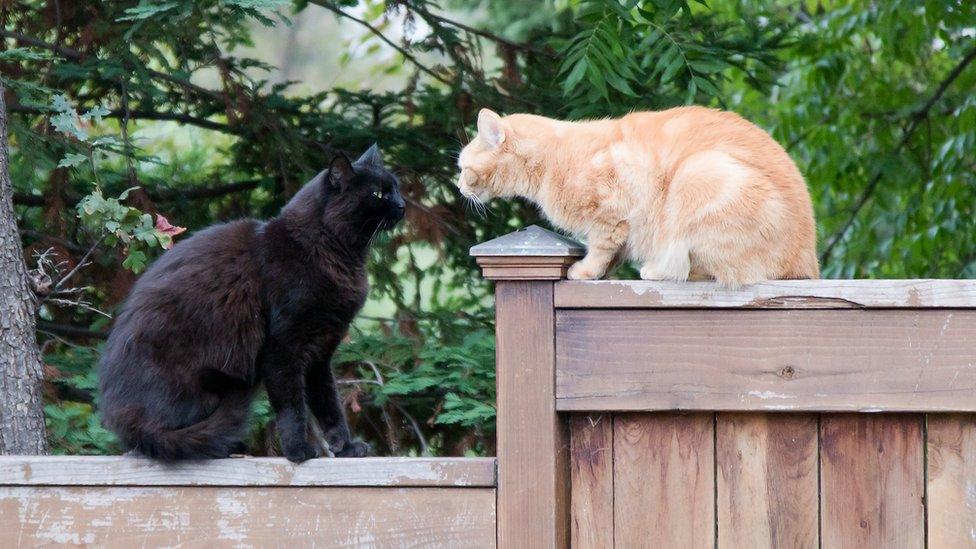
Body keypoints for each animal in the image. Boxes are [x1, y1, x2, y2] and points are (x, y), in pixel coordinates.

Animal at [99, 147, 404, 462]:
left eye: (396, 188)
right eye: (378, 194)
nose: (403, 205)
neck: (331, 251)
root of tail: (124, 418)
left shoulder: (321, 352)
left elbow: (328, 404)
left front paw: (346, 447)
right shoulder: (283, 346)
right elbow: (292, 407)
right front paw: (298, 451)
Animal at [456, 107, 816, 286]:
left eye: (463, 168)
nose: (459, 187)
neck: (553, 159)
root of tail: (807, 260)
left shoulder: (611, 215)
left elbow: (600, 248)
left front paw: (586, 272)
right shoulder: (621, 226)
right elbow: (613, 254)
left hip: (697, 173)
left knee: (719, 270)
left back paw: (659, 269)